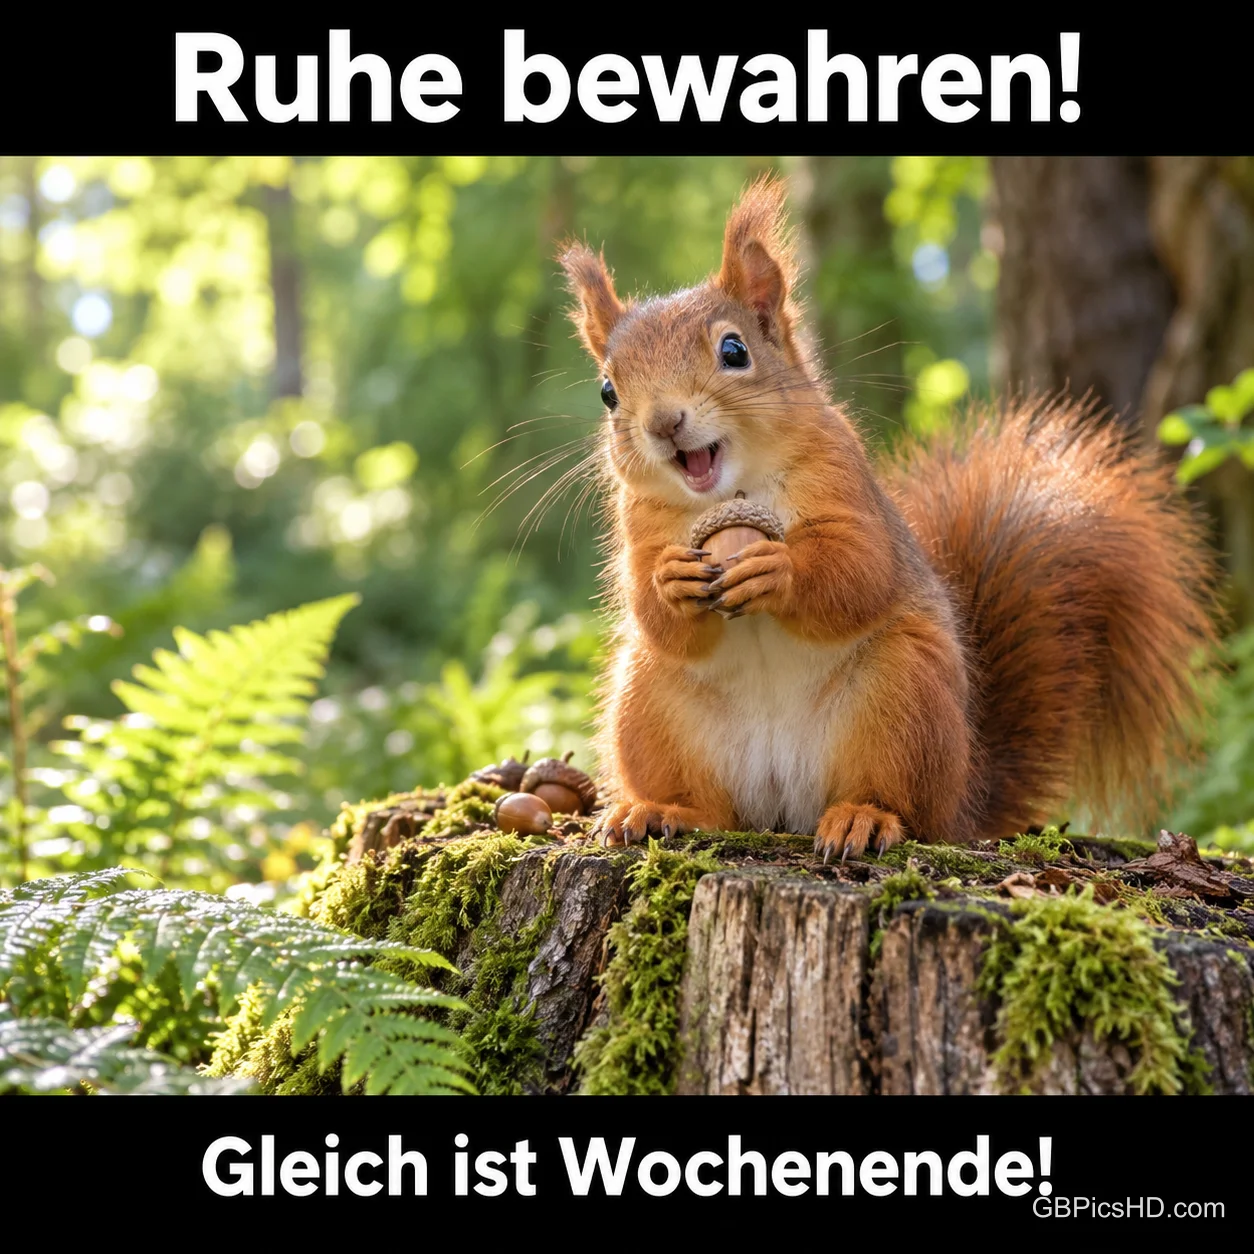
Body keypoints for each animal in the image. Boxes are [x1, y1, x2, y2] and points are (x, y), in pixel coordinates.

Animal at [557, 177, 1220, 860]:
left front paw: (778, 570)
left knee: (902, 803)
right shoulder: (639, 523)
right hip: (651, 705)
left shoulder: (846, 484)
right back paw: (662, 809)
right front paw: (671, 582)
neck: (727, 490)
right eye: (608, 391)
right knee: (711, 807)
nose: (664, 423)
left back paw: (864, 818)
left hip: (903, 700)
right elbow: (654, 612)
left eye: (734, 350)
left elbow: (861, 570)